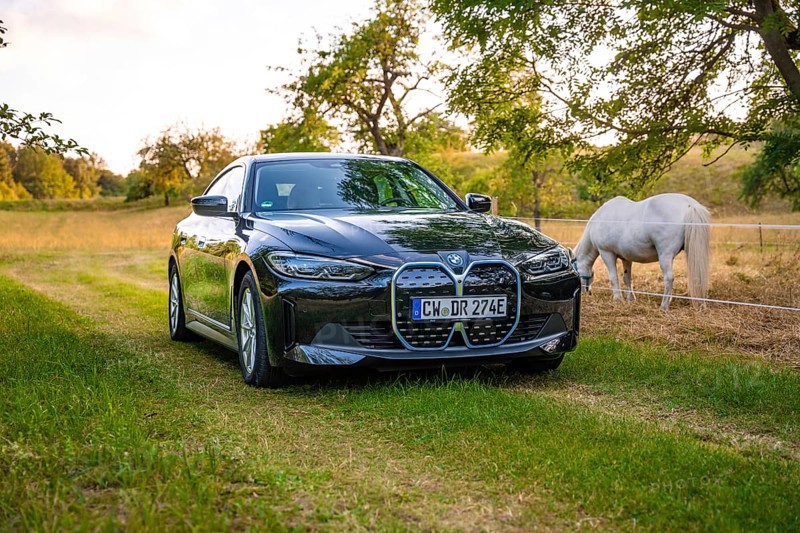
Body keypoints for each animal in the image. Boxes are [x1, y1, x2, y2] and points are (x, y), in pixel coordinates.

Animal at [574, 193, 710, 310]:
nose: (586, 293)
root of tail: (689, 204)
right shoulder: (626, 258)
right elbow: (627, 278)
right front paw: (630, 298)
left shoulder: (606, 253)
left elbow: (613, 278)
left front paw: (617, 299)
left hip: (665, 255)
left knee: (669, 278)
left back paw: (664, 306)